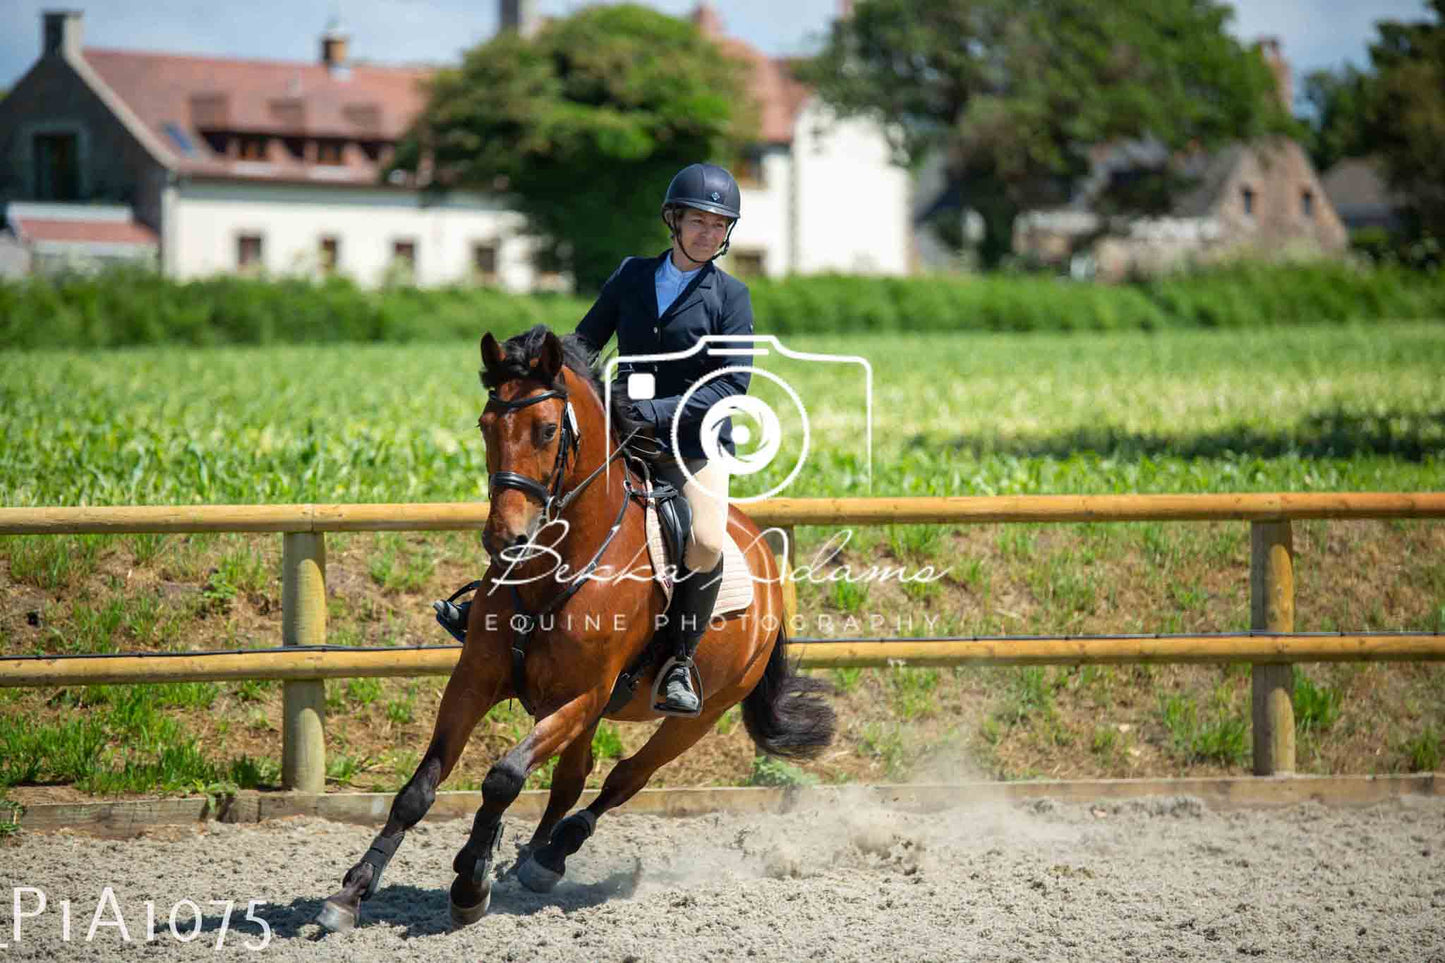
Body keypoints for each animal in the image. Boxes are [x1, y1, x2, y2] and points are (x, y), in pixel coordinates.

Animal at [316, 323, 838, 931]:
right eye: (485, 426)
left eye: (546, 430)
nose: (505, 540)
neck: (562, 563)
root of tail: (765, 559)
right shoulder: (475, 682)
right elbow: (419, 789)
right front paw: (353, 891)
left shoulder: (582, 696)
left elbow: (503, 777)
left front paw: (470, 883)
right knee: (573, 777)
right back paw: (531, 859)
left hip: (701, 713)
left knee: (624, 777)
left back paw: (552, 854)